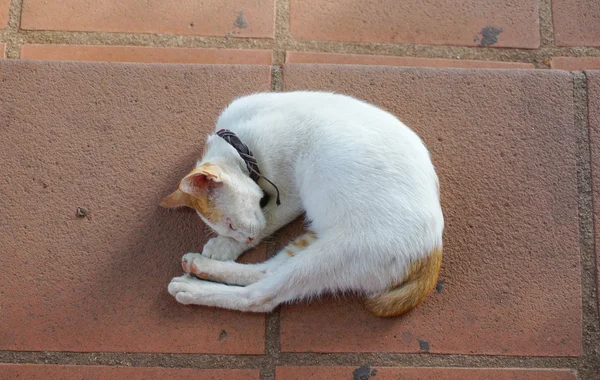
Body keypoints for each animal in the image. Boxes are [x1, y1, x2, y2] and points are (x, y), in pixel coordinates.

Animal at [162, 90, 442, 316]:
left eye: (230, 224)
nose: (246, 239)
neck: (239, 139)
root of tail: (433, 248)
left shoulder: (289, 195)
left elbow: (269, 219)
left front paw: (224, 246)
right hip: (316, 243)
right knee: (267, 271)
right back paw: (201, 267)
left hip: (335, 255)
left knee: (261, 297)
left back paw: (193, 288)